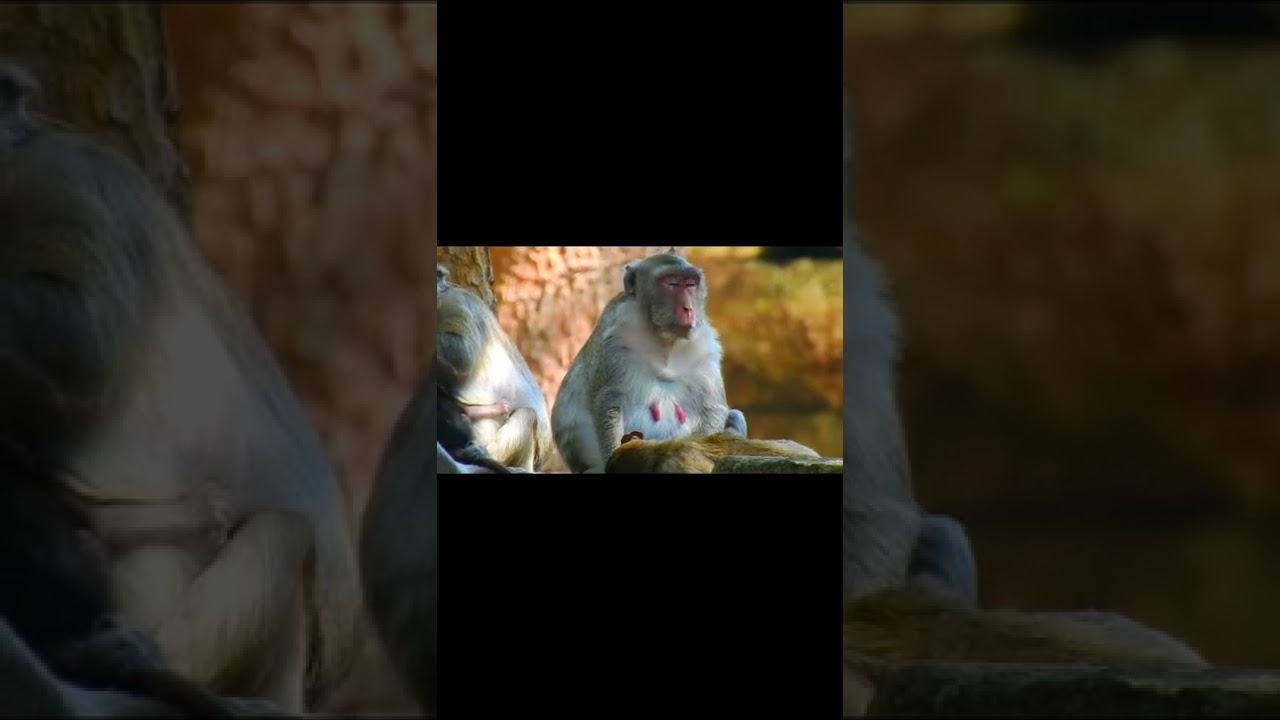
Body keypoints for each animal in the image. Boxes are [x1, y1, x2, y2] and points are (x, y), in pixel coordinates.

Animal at [551, 251, 750, 473]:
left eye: (691, 284)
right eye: (672, 283)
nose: (688, 308)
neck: (665, 340)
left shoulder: (706, 347)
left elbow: (712, 408)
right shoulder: (616, 337)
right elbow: (610, 401)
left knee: (734, 415)